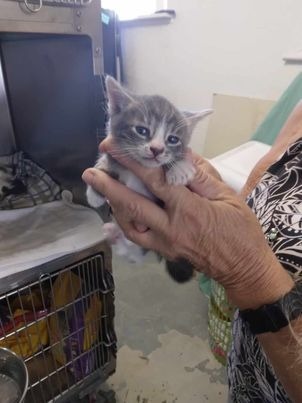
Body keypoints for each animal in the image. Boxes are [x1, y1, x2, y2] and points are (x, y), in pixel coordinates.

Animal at [86, 76, 211, 284]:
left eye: (173, 139)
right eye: (142, 130)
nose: (156, 149)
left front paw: (180, 168)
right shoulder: (116, 155)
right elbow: (104, 164)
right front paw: (95, 189)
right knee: (132, 256)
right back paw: (113, 235)